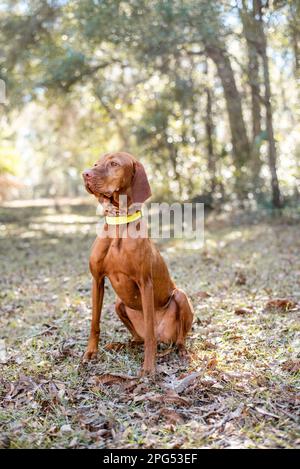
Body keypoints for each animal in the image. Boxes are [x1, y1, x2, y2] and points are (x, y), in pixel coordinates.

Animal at [82, 152, 195, 374]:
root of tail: (164, 338)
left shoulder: (145, 283)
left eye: (114, 164)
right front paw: (90, 353)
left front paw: (149, 368)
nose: (85, 173)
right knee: (138, 338)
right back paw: (121, 344)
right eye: (96, 163)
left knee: (173, 337)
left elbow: (150, 334)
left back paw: (181, 351)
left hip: (180, 296)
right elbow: (94, 322)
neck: (118, 225)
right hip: (119, 304)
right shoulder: (97, 280)